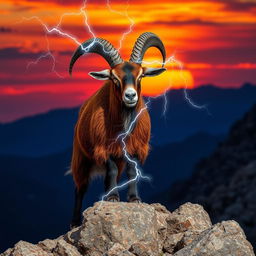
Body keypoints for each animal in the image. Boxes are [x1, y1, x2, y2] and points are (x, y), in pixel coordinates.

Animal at [69, 32, 167, 228]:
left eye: (140, 76)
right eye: (114, 77)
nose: (130, 96)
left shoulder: (134, 148)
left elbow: (131, 172)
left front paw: (134, 198)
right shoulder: (103, 148)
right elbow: (112, 170)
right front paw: (114, 197)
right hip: (81, 157)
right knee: (80, 187)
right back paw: (75, 222)